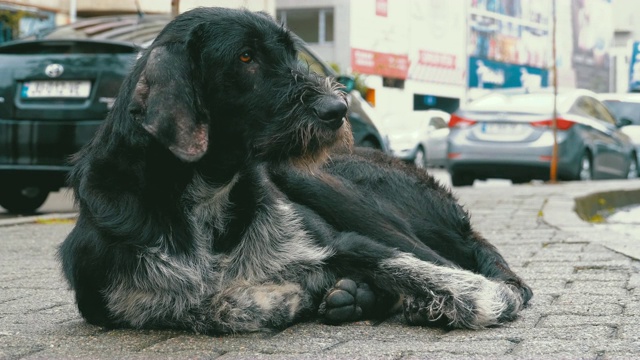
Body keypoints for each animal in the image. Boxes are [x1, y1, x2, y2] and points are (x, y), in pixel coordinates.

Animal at [60, 7, 532, 334]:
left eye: (291, 53)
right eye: (245, 57)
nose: (338, 109)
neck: (206, 198)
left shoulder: (344, 241)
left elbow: (411, 266)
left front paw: (482, 298)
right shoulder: (113, 299)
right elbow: (206, 302)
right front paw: (278, 295)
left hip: (322, 185)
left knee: (478, 268)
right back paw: (355, 296)